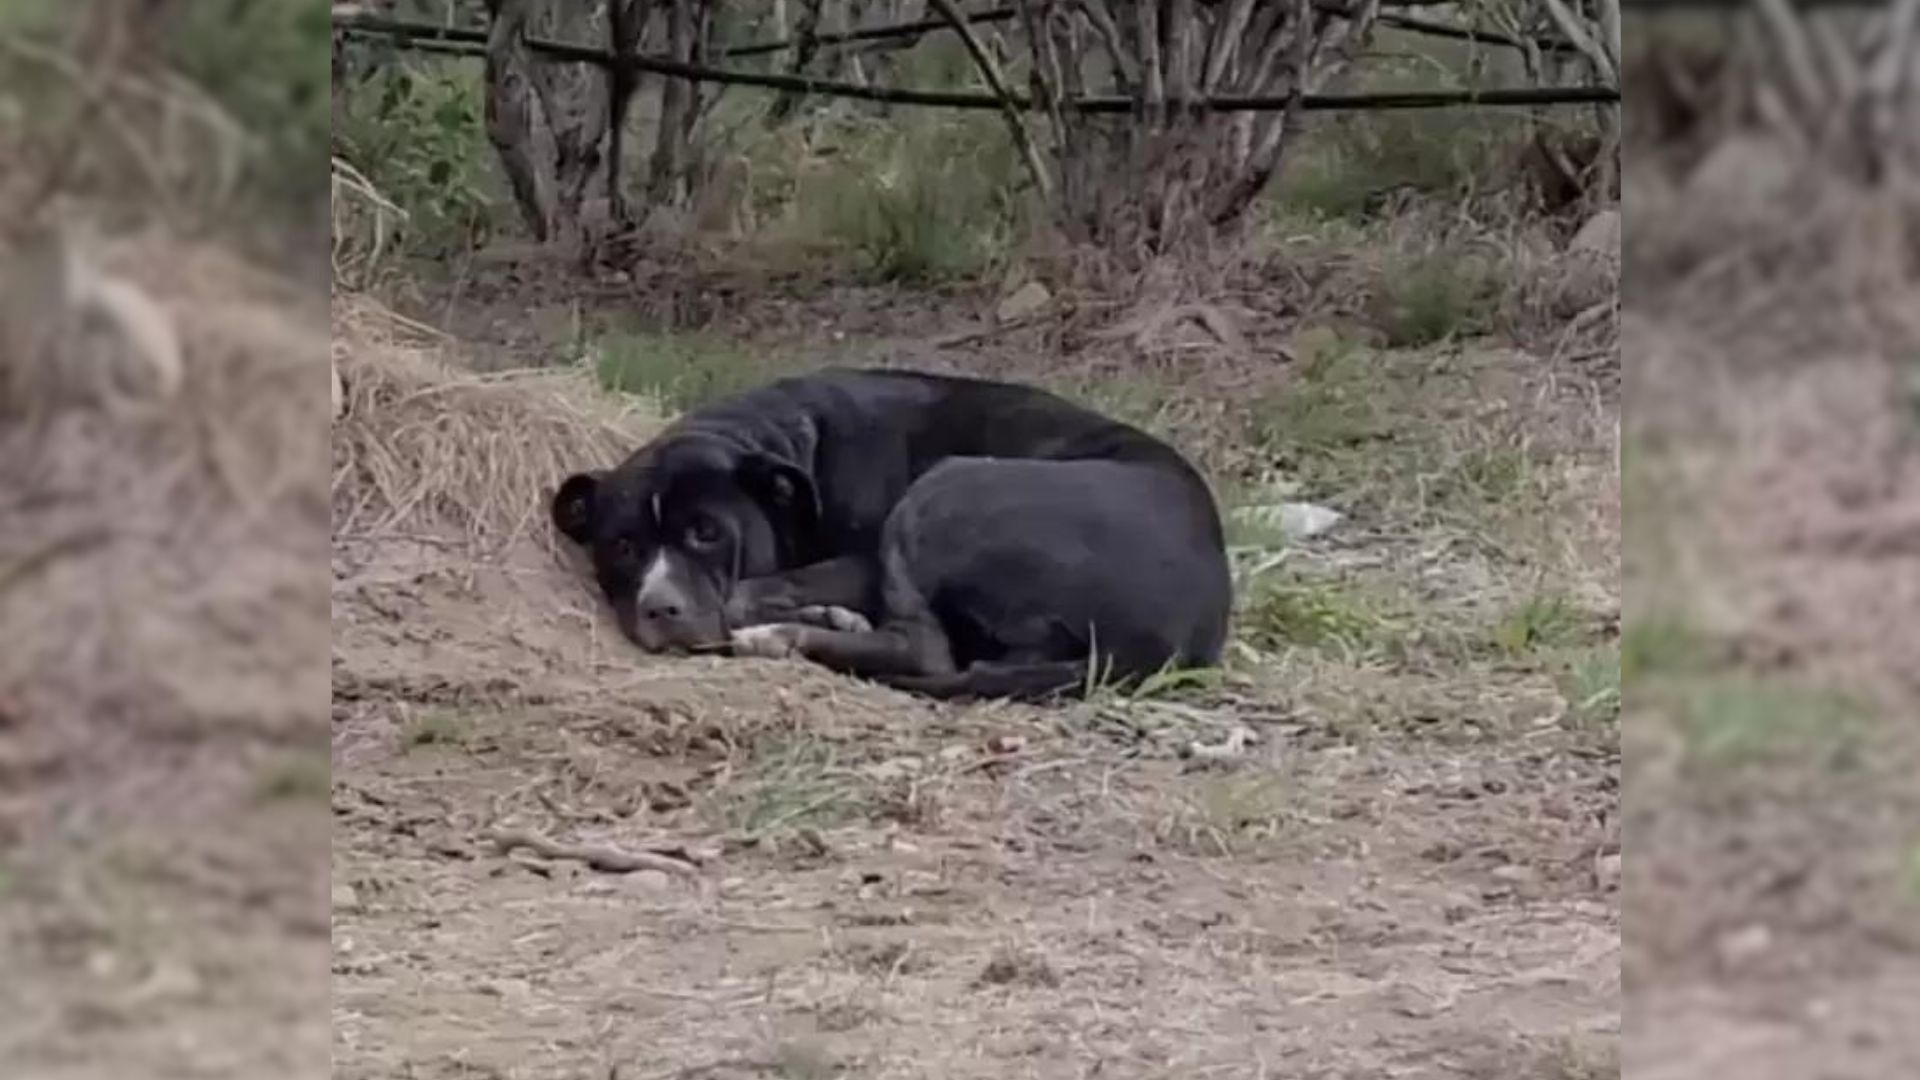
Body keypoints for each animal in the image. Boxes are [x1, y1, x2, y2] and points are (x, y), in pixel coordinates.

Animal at [549, 361, 1228, 699]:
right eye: (624, 546)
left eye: (707, 533)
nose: (660, 608)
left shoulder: (862, 560)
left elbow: (756, 587)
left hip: (946, 488)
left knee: (924, 648)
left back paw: (779, 636)